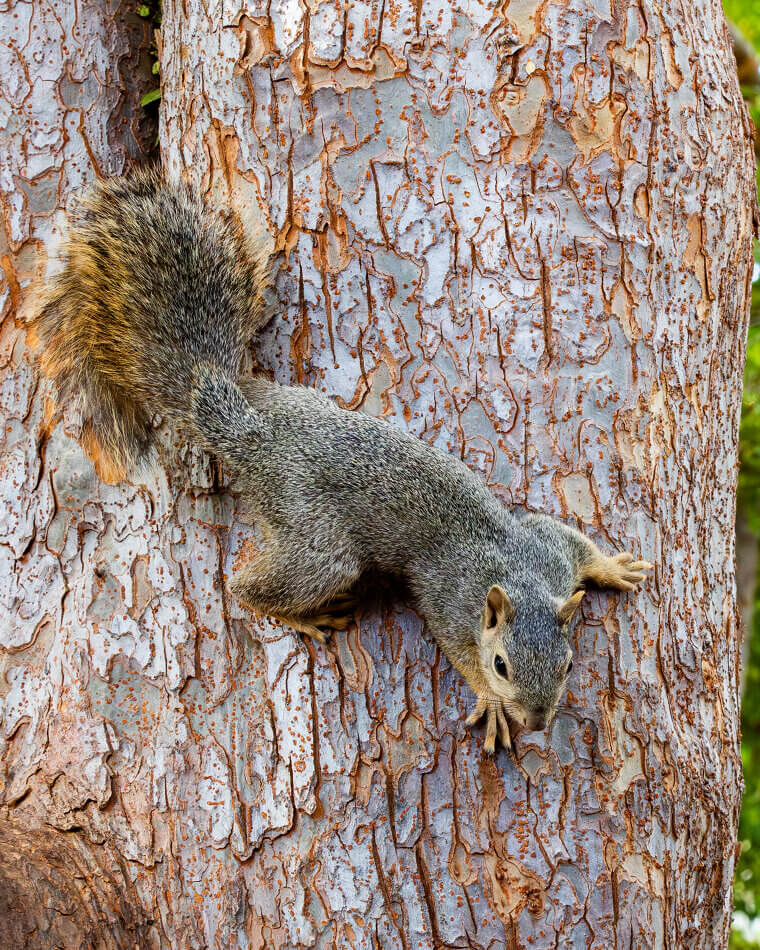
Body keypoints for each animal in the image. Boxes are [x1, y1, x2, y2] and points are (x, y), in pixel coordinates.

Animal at [27, 170, 651, 754]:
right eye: (501, 665)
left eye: (568, 662)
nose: (539, 721)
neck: (516, 577)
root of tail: (246, 430)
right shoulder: (451, 603)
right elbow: (456, 647)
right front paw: (490, 703)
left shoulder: (548, 550)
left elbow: (574, 542)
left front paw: (613, 567)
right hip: (319, 541)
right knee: (247, 586)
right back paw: (300, 615)